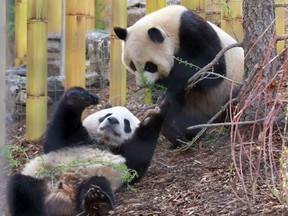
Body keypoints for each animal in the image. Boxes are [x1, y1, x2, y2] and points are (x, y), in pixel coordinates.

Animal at [7, 86, 169, 216]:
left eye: (127, 123)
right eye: (107, 115)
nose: (113, 120)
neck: (103, 142)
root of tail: (62, 194)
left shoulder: (125, 158)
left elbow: (137, 165)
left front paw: (152, 118)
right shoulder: (75, 139)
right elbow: (56, 135)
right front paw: (77, 97)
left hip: (95, 178)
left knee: (97, 183)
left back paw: (97, 201)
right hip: (41, 178)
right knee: (19, 186)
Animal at [113, 5, 244, 148]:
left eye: (149, 66)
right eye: (132, 65)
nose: (143, 84)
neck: (172, 25)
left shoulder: (194, 32)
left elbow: (213, 69)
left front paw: (173, 87)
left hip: (232, 86)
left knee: (233, 105)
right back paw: (180, 135)